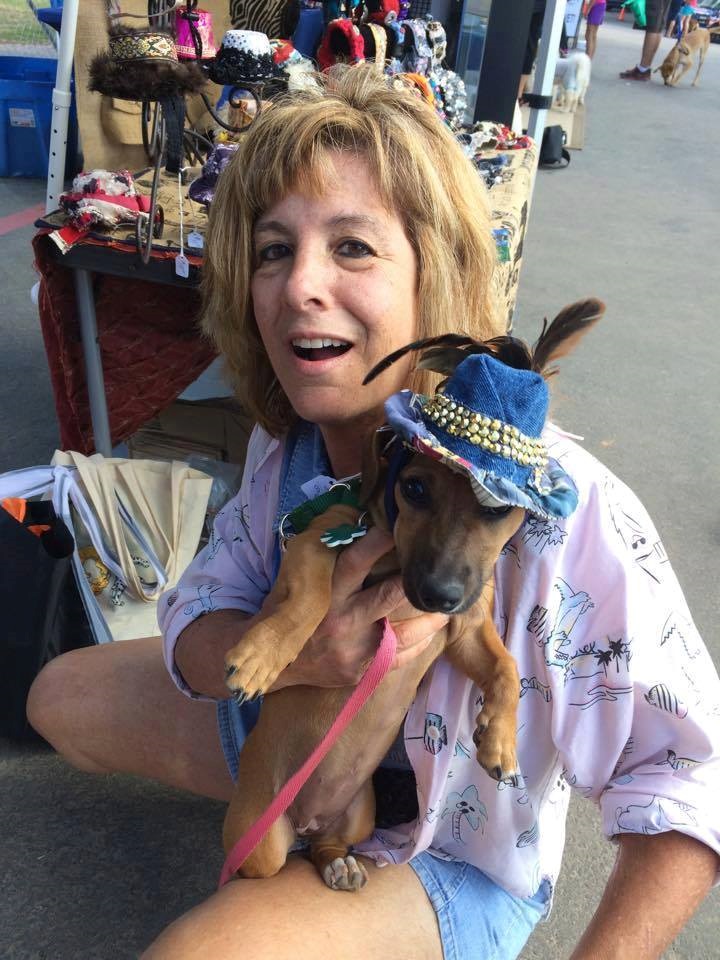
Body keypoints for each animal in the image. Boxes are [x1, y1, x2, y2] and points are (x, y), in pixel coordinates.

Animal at [221, 298, 604, 891]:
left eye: (498, 508)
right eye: (415, 488)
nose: (438, 593)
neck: (398, 559)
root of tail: (305, 820)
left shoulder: (463, 629)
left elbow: (506, 667)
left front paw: (499, 740)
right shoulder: (315, 543)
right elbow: (308, 604)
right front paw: (263, 657)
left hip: (360, 811)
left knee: (325, 846)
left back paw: (337, 863)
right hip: (257, 839)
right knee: (262, 862)